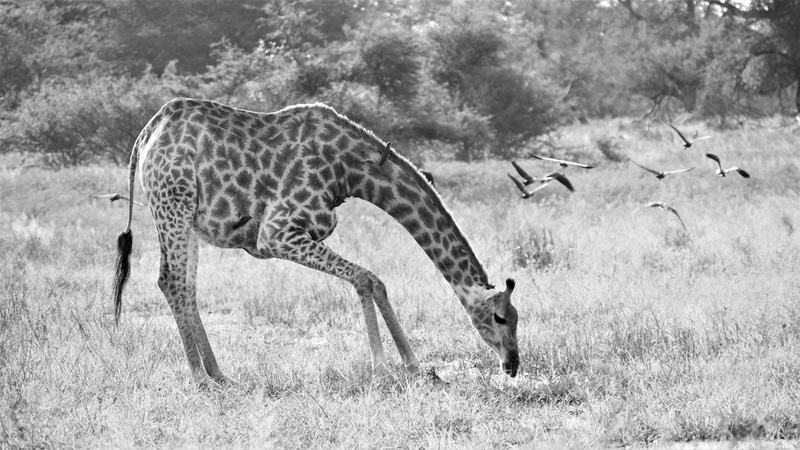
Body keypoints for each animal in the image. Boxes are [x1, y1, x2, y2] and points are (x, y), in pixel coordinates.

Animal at [112, 98, 520, 387]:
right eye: (500, 317)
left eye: (516, 318)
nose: (513, 365)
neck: (352, 171)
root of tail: (144, 138)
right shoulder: (276, 233)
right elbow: (365, 278)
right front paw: (384, 368)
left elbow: (375, 280)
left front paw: (413, 366)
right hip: (174, 202)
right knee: (170, 280)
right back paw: (199, 378)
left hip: (188, 216)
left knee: (186, 285)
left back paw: (219, 374)